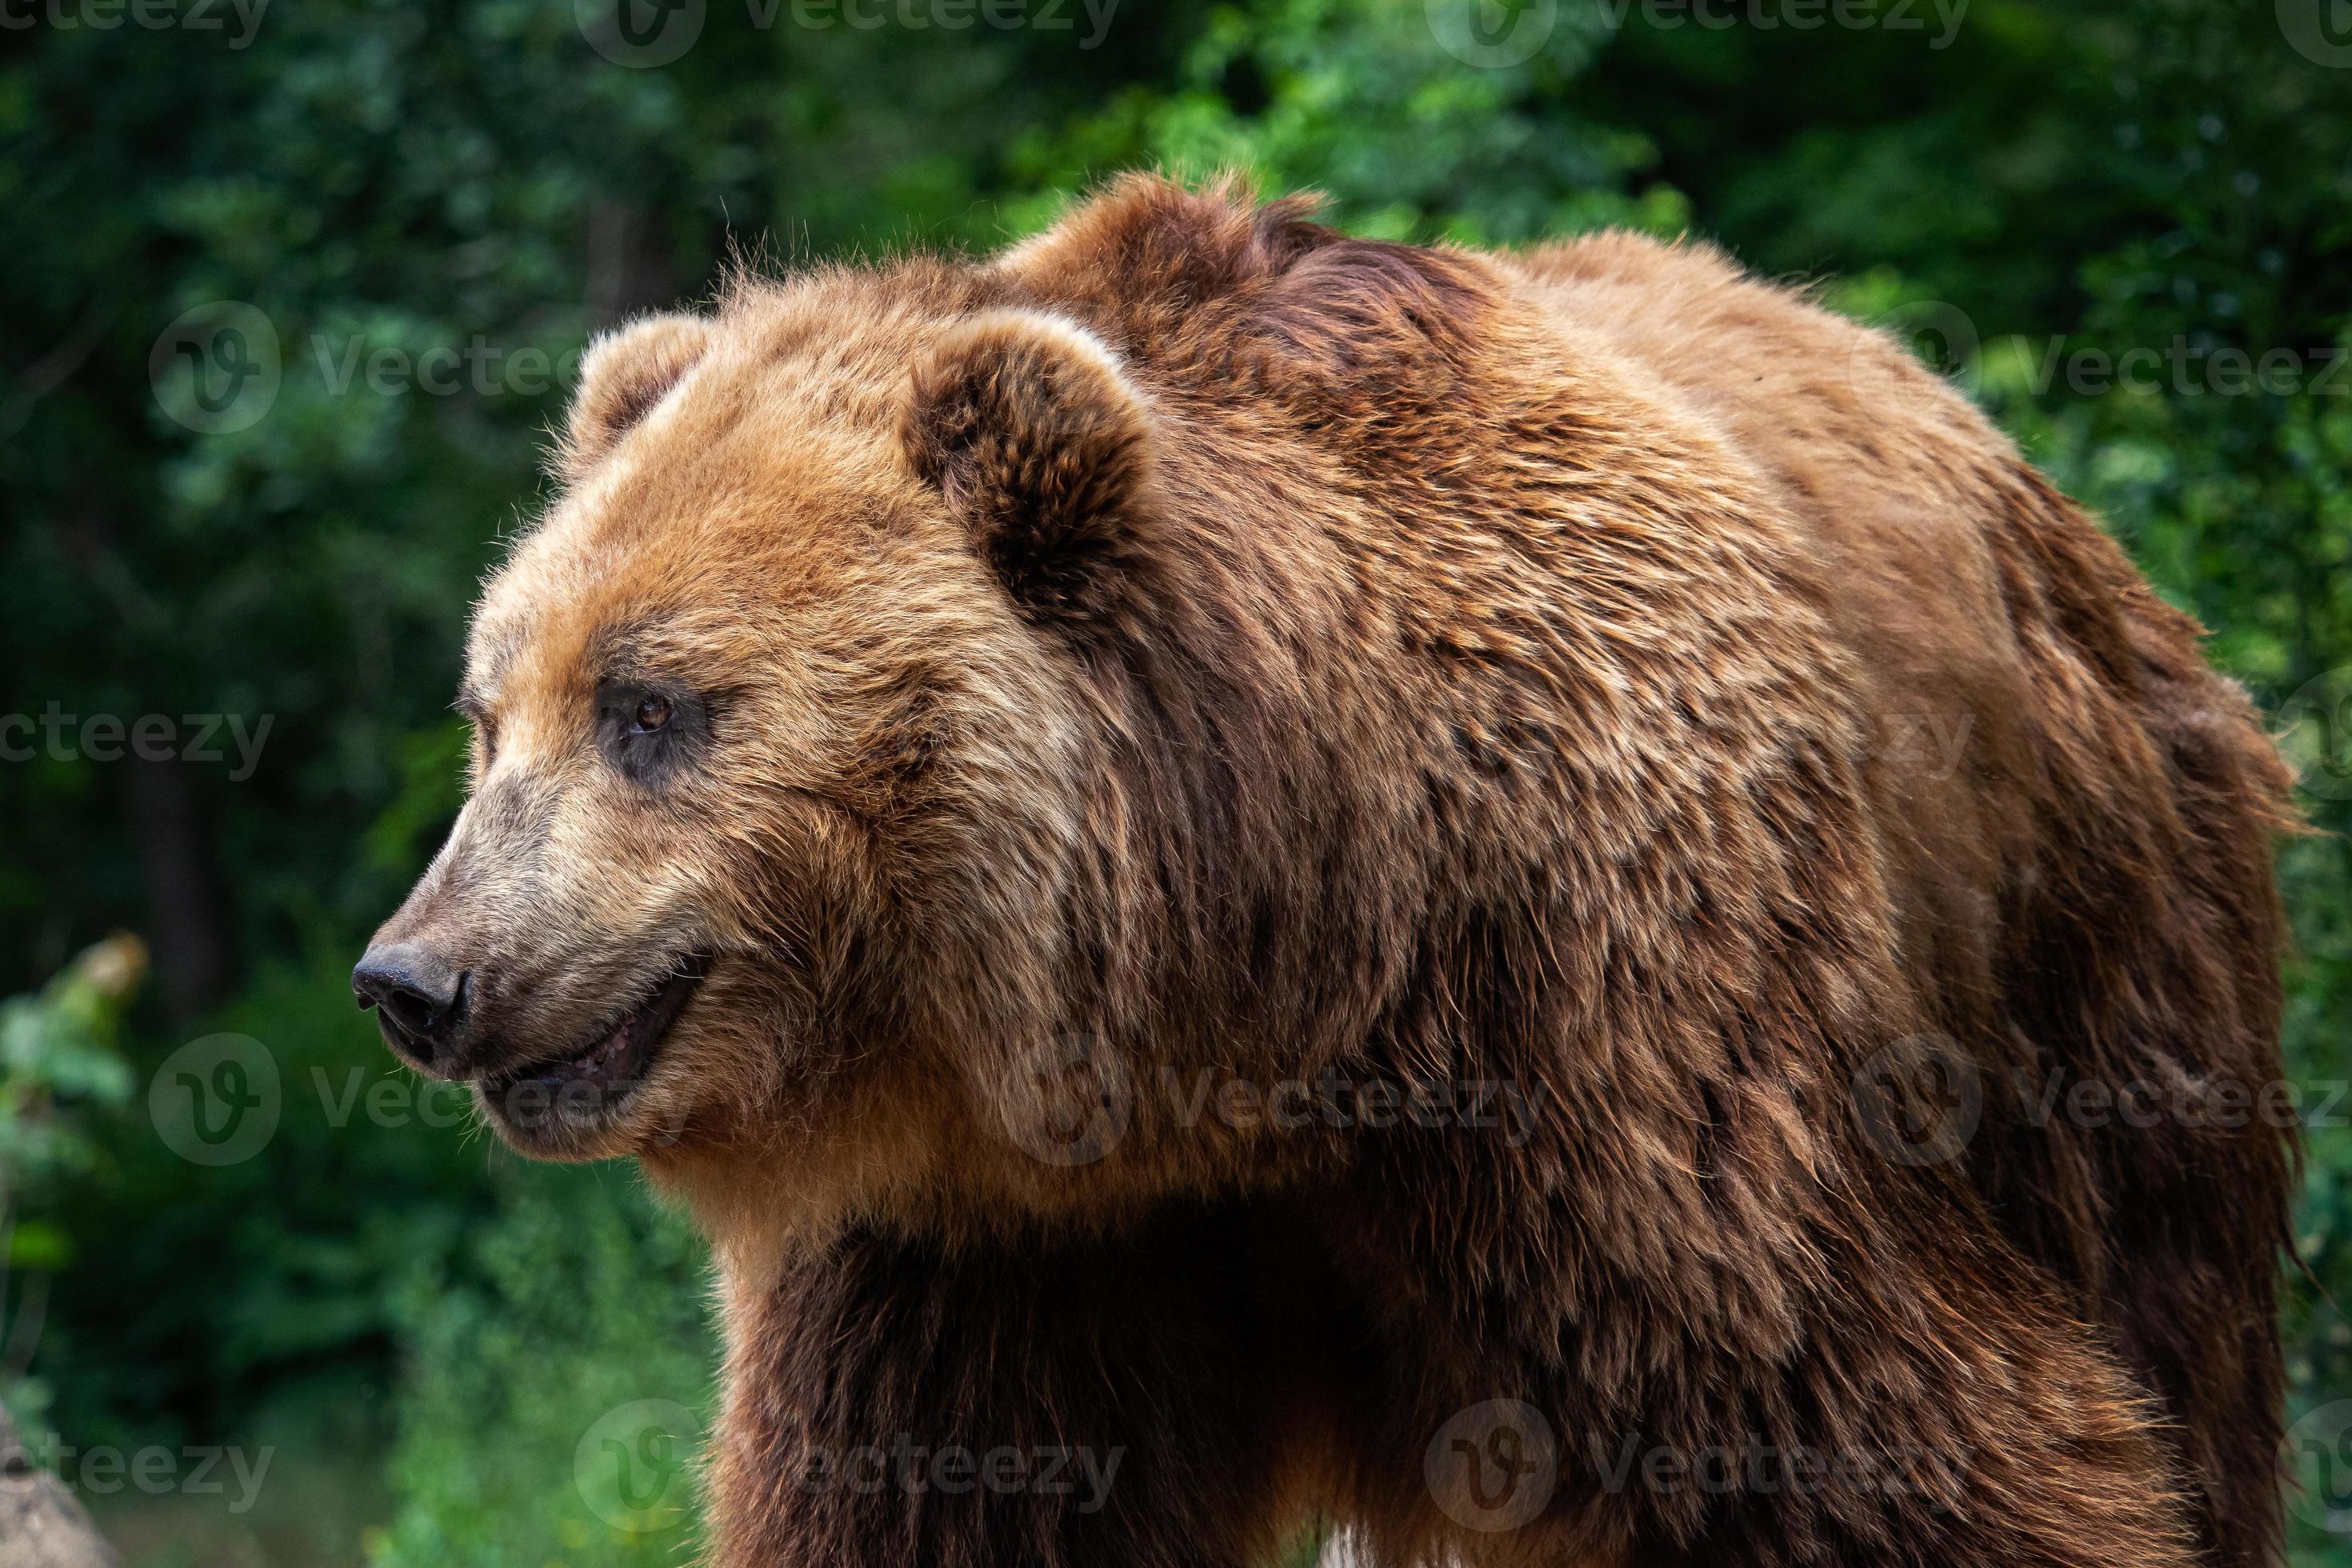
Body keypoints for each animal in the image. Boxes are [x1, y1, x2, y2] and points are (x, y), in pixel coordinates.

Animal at [357, 174, 2286, 1568]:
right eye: (488, 712)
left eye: (652, 707)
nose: (417, 978)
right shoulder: (993, 1245)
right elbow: (939, 1502)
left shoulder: (1631, 1044)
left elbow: (1903, 1438)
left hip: (2095, 963)